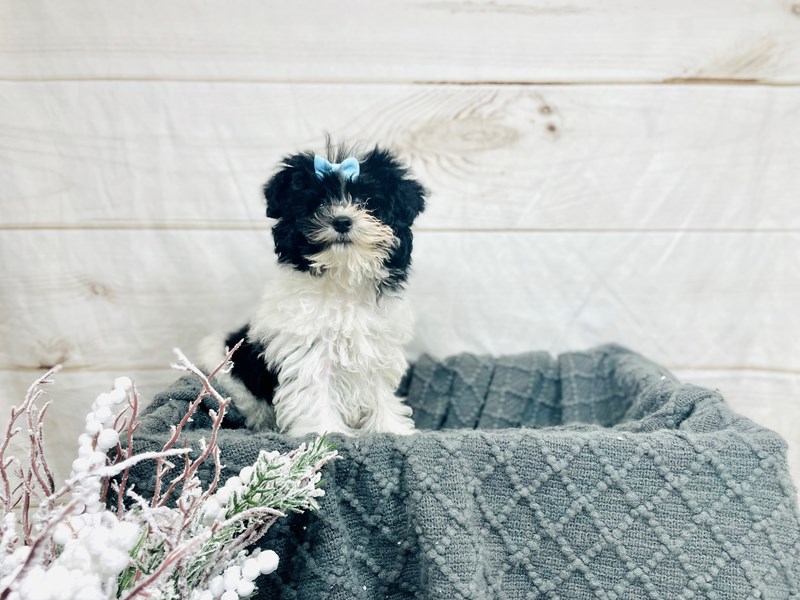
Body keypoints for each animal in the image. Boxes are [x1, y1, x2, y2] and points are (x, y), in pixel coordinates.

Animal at [199, 144, 424, 438]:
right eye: (318, 204)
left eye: (368, 202)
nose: (342, 221)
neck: (342, 279)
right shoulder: (308, 350)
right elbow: (316, 391)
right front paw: (323, 433)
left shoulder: (377, 346)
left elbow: (378, 388)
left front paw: (389, 428)